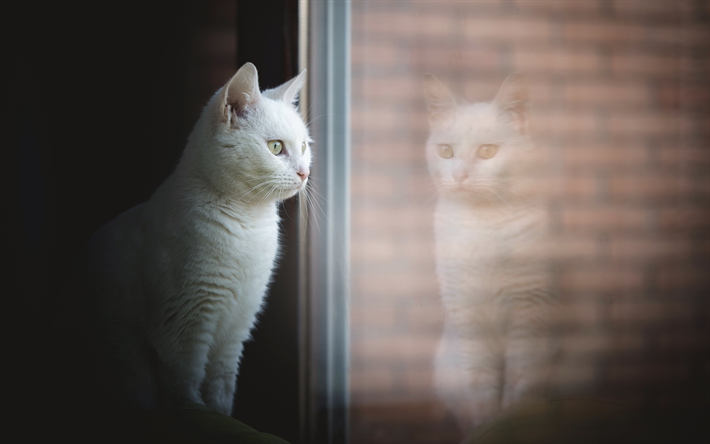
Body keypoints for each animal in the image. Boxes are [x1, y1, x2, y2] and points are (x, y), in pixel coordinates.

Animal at [86, 63, 312, 416]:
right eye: (276, 147)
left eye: (304, 146)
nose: (304, 172)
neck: (251, 224)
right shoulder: (183, 325)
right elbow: (186, 386)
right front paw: (197, 410)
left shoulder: (237, 327)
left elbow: (221, 387)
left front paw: (220, 412)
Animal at [426, 73, 560, 430]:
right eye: (446, 151)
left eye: (487, 151)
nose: (459, 176)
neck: (482, 222)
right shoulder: (468, 318)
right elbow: (481, 389)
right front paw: (484, 428)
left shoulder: (527, 315)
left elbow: (519, 385)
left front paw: (508, 425)